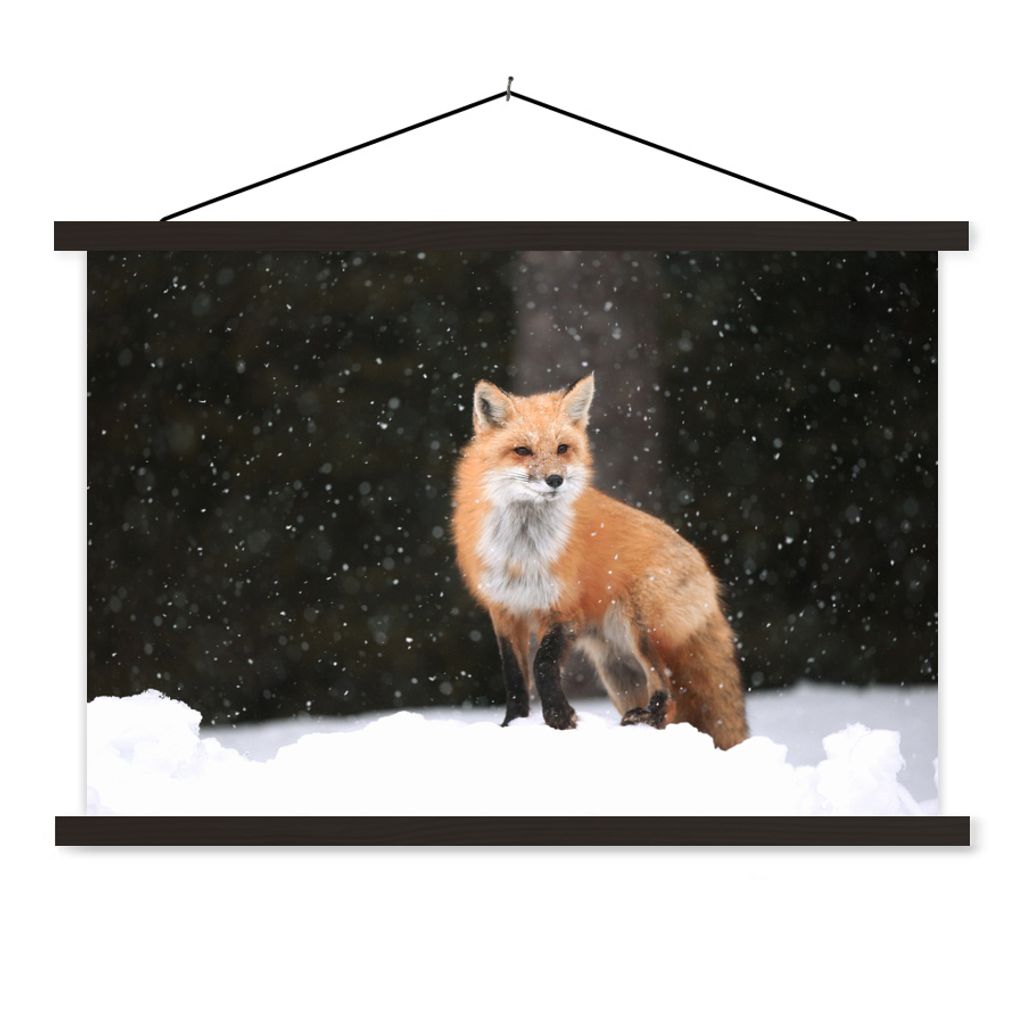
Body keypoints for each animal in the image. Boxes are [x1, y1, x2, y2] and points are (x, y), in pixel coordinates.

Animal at [451, 373, 748, 749]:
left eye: (562, 448)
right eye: (522, 451)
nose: (555, 480)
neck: (523, 553)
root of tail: (710, 576)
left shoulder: (564, 610)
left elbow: (543, 665)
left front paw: (559, 718)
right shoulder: (505, 611)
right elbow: (515, 677)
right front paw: (512, 725)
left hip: (643, 631)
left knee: (667, 689)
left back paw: (646, 717)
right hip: (618, 668)